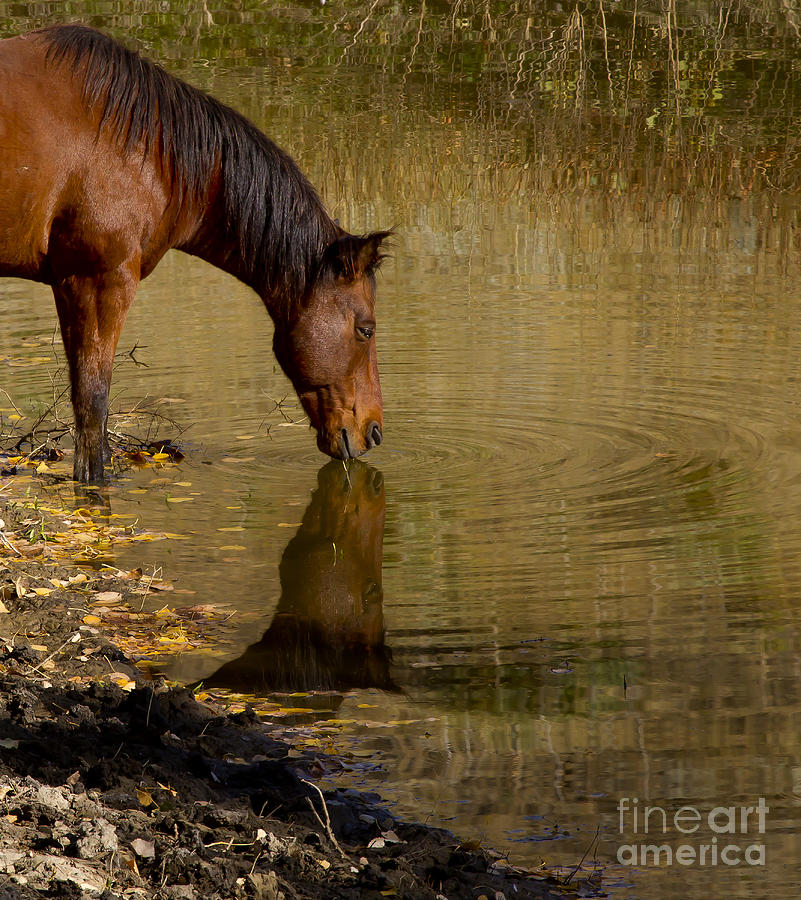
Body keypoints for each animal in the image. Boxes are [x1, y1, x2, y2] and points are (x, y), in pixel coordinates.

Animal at [0, 24, 390, 482]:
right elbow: (92, 409)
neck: (146, 147)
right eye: (366, 329)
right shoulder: (97, 281)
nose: (374, 431)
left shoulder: (71, 285)